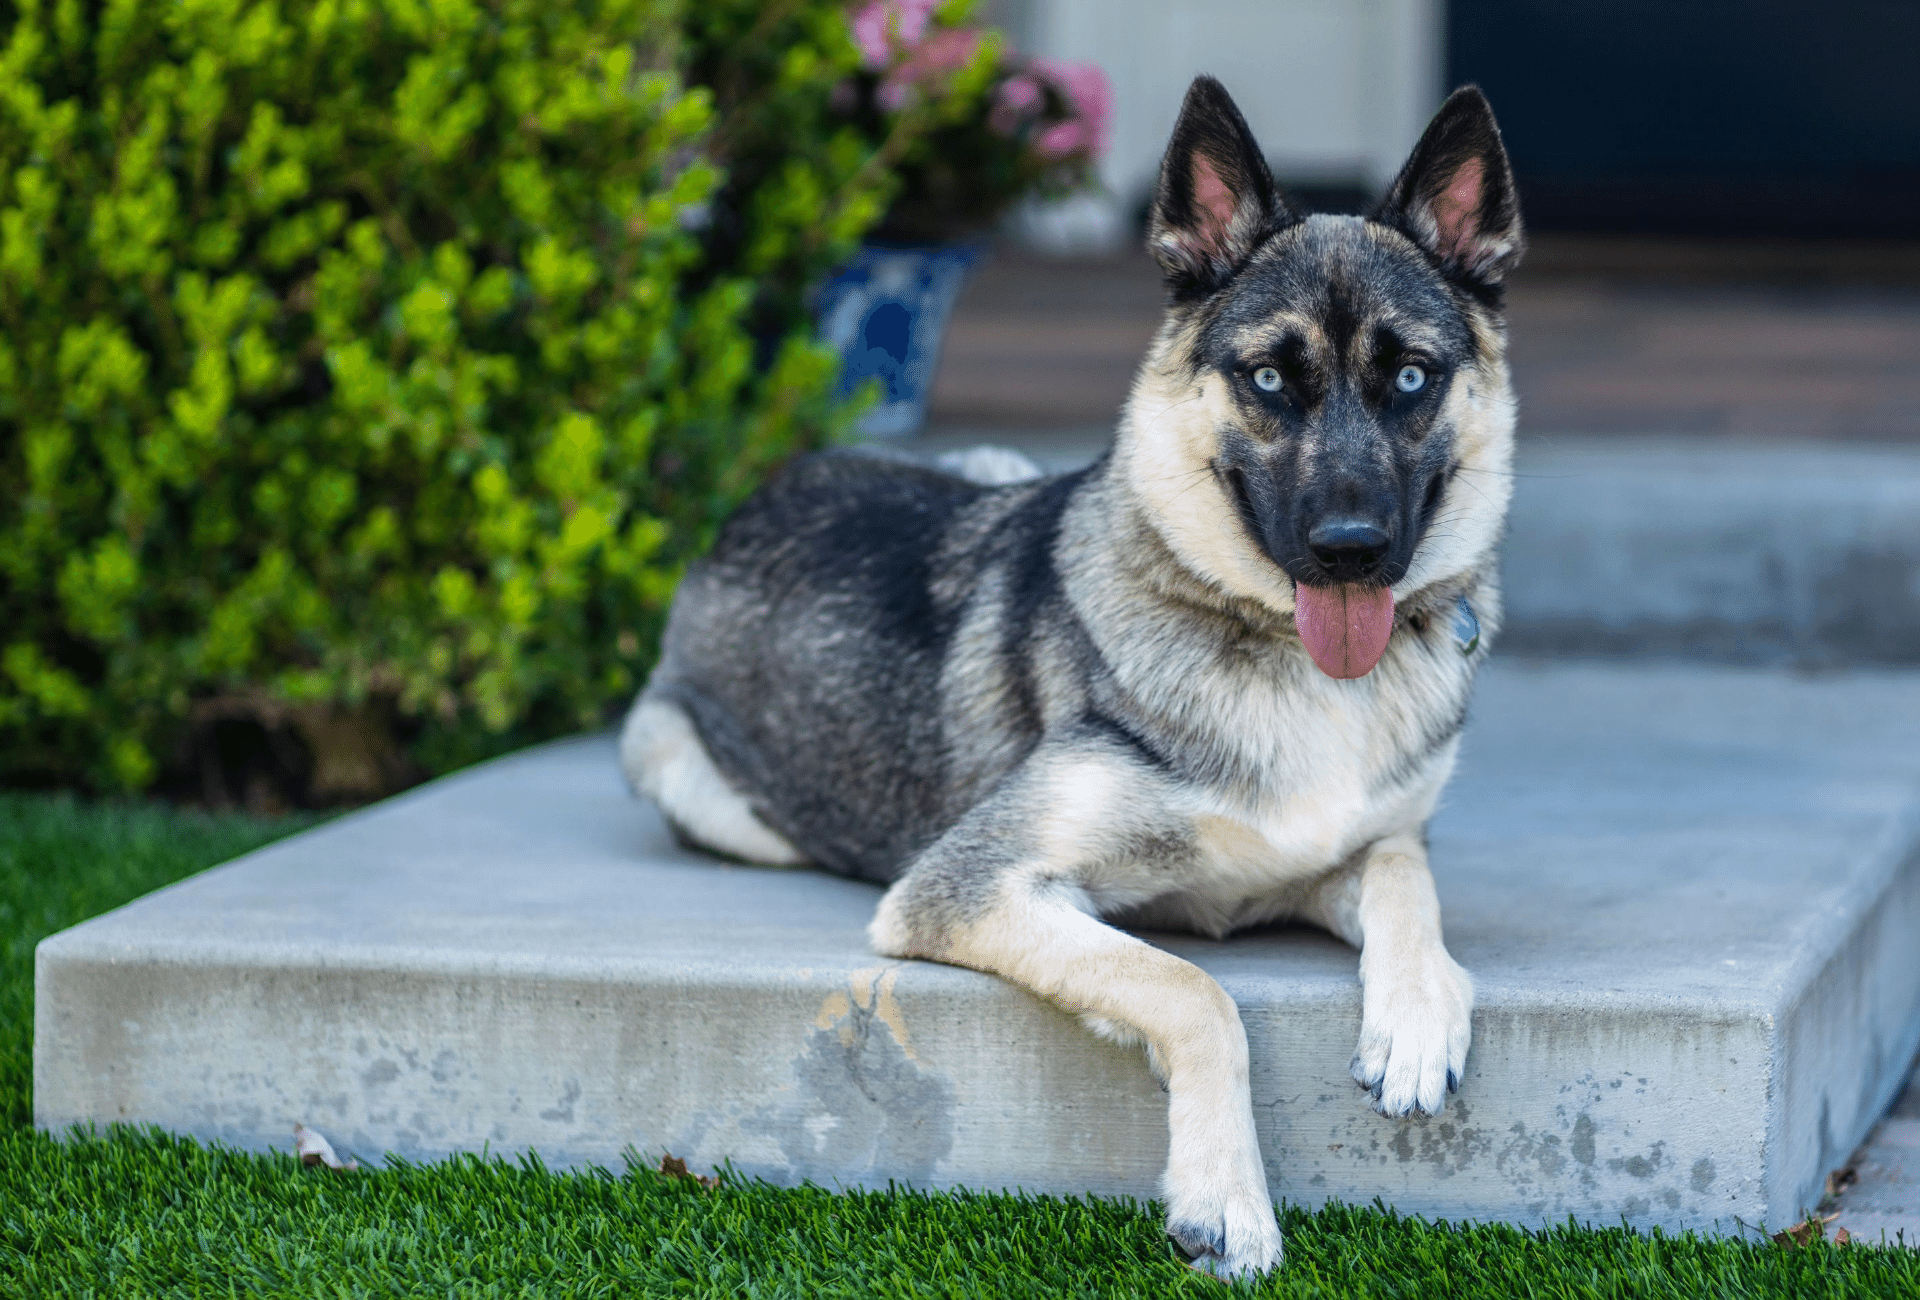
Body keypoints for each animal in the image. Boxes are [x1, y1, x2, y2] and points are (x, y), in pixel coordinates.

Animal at [622, 75, 1520, 1275]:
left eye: (1413, 377)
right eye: (1269, 379)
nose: (1351, 550)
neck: (1281, 648)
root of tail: (764, 493)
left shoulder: (1340, 853)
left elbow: (1401, 875)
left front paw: (1419, 1015)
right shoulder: (976, 887)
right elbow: (1193, 988)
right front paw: (1226, 1196)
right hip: (683, 767)